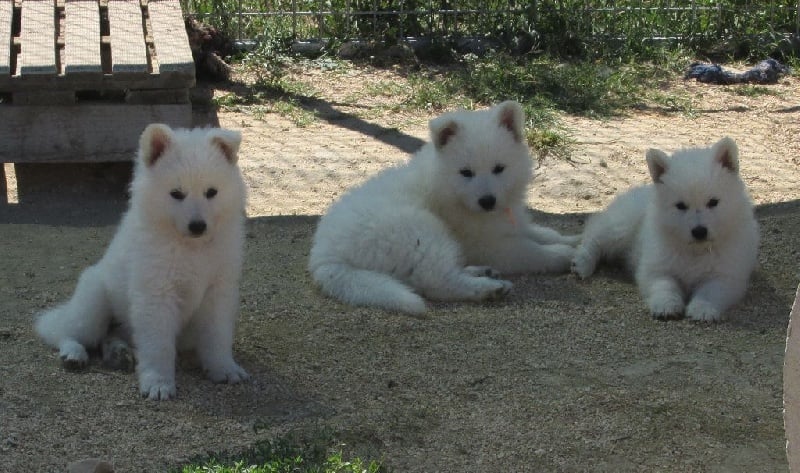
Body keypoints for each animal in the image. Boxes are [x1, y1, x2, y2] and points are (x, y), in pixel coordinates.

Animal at [34, 123, 248, 396]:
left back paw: (118, 354)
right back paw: (73, 354)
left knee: (109, 337)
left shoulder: (218, 292)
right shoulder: (157, 294)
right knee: (63, 332)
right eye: (176, 194)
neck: (191, 247)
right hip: (93, 306)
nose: (198, 226)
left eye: (212, 192)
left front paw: (224, 368)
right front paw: (158, 382)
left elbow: (217, 336)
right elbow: (158, 345)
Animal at [310, 99, 580, 314]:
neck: (446, 187)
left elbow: (545, 234)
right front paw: (564, 254)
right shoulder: (490, 246)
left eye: (499, 169)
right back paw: (488, 289)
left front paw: (574, 240)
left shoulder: (510, 223)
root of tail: (325, 257)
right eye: (466, 172)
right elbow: (533, 251)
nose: (487, 201)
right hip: (421, 233)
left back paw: (481, 273)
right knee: (438, 280)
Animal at [572, 136, 760, 320]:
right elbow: (665, 286)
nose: (699, 231)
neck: (695, 251)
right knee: (593, 239)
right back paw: (582, 263)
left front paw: (702, 308)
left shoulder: (727, 276)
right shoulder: (657, 268)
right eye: (681, 206)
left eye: (713, 202)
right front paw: (666, 305)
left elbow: (710, 291)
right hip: (621, 225)